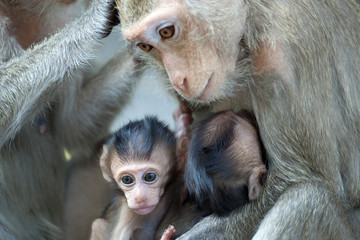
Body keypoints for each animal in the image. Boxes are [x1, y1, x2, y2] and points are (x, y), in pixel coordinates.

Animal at [115, 0, 360, 239]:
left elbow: (298, 176)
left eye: (167, 31)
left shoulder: (286, 51)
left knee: (307, 199)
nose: (177, 81)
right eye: (145, 46)